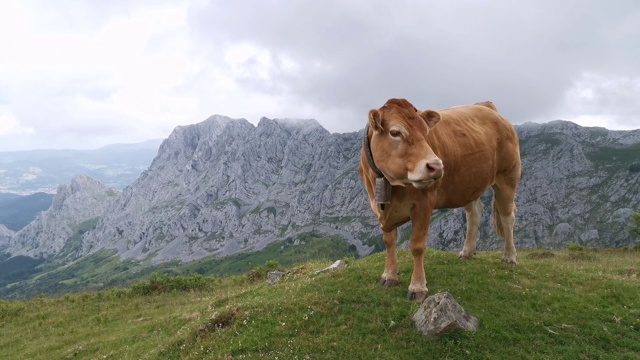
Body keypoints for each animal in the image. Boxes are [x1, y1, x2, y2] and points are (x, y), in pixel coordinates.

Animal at [358, 97, 524, 300]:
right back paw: (467, 252)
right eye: (395, 132)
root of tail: (486, 106)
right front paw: (389, 276)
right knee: (474, 213)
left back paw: (510, 256)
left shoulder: (423, 205)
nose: (436, 166)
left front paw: (417, 287)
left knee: (508, 217)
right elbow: (389, 241)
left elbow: (417, 246)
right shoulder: (377, 206)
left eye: (426, 132)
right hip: (470, 183)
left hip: (508, 176)